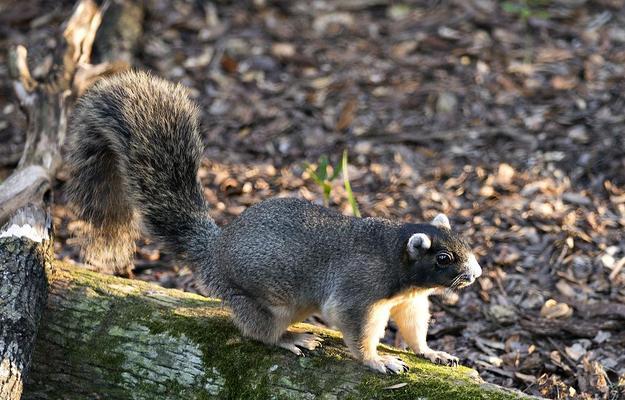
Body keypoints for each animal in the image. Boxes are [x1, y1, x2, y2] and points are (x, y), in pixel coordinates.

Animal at [67, 70, 482, 374]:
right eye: (444, 258)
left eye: (463, 243)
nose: (476, 273)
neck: (396, 261)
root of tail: (214, 251)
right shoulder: (359, 290)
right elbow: (357, 328)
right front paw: (378, 361)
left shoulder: (410, 301)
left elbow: (413, 326)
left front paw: (431, 352)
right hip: (261, 301)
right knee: (258, 331)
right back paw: (289, 339)